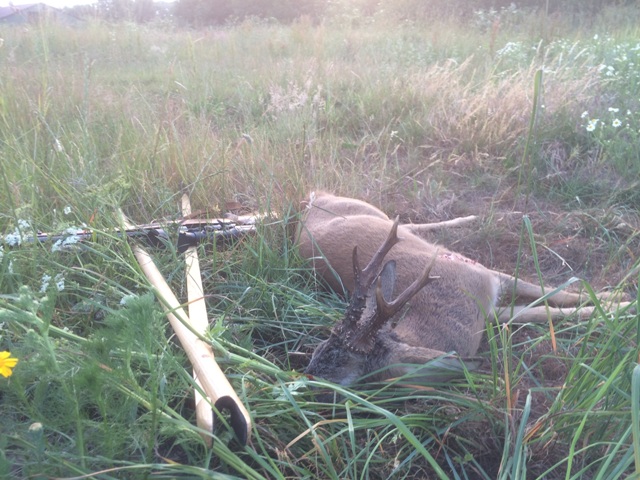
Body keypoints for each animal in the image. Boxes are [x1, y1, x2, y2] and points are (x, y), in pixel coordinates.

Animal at [298, 191, 632, 386]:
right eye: (317, 349)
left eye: (340, 365)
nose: (306, 375)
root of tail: (313, 201)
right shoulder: (491, 312)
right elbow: (539, 311)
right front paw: (619, 306)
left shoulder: (486, 275)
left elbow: (549, 291)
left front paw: (617, 299)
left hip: (372, 210)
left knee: (407, 223)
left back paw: (468, 217)